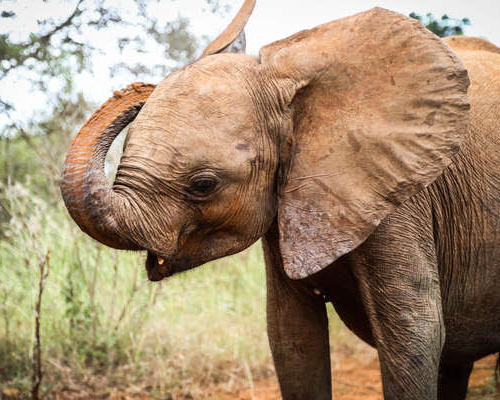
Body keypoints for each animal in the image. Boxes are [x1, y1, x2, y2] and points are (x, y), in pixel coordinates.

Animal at [61, 1, 500, 398]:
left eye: (203, 185)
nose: (140, 89)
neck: (284, 76)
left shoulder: (399, 196)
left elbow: (413, 332)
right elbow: (291, 335)